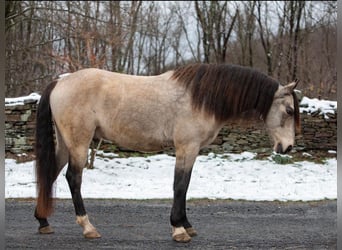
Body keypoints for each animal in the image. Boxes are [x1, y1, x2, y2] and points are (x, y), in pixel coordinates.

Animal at [34, 63, 300, 243]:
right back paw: (88, 227)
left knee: (51, 173)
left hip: (66, 144)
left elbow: (185, 186)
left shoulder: (191, 151)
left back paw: (43, 221)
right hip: (79, 144)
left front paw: (186, 225)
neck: (200, 98)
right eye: (288, 110)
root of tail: (60, 82)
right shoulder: (186, 148)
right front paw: (179, 229)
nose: (287, 147)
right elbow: (180, 185)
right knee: (73, 178)